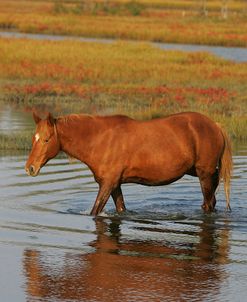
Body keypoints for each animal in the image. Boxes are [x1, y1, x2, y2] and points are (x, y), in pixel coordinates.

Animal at [24, 111, 232, 215]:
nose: (30, 168)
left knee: (209, 203)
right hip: (199, 172)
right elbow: (121, 208)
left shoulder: (107, 184)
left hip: (204, 174)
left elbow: (95, 211)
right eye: (33, 138)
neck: (99, 140)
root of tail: (215, 125)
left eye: (46, 139)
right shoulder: (114, 184)